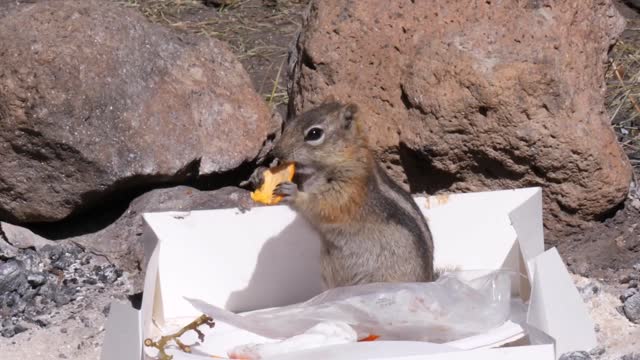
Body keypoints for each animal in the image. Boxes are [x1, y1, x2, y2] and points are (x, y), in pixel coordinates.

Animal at [252, 102, 432, 288]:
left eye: (314, 133)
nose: (276, 152)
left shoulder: (348, 189)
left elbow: (322, 204)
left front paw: (294, 193)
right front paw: (259, 175)